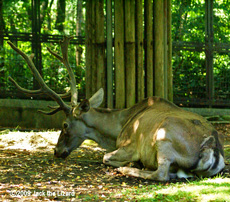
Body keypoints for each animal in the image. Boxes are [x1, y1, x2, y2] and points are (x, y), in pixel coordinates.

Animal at [7, 36, 225, 181]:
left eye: (65, 124)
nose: (57, 151)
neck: (117, 130)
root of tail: (213, 150)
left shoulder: (130, 146)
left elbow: (105, 156)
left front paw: (126, 163)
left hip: (164, 139)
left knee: (161, 174)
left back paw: (127, 168)